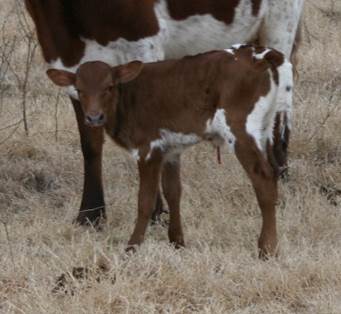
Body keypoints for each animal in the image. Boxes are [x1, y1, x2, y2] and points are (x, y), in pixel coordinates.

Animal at [24, 0, 302, 226]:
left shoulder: (143, 46)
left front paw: (155, 214)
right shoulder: (69, 64)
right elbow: (90, 147)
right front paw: (90, 215)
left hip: (280, 23)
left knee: (282, 102)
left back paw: (279, 175)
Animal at [47, 46, 292, 258]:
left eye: (109, 87)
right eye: (79, 90)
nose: (94, 117)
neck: (127, 99)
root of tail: (261, 54)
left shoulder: (147, 148)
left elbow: (145, 201)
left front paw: (132, 247)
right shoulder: (171, 150)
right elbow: (173, 191)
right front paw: (177, 242)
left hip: (240, 128)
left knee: (263, 178)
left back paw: (267, 249)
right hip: (266, 126)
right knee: (273, 171)